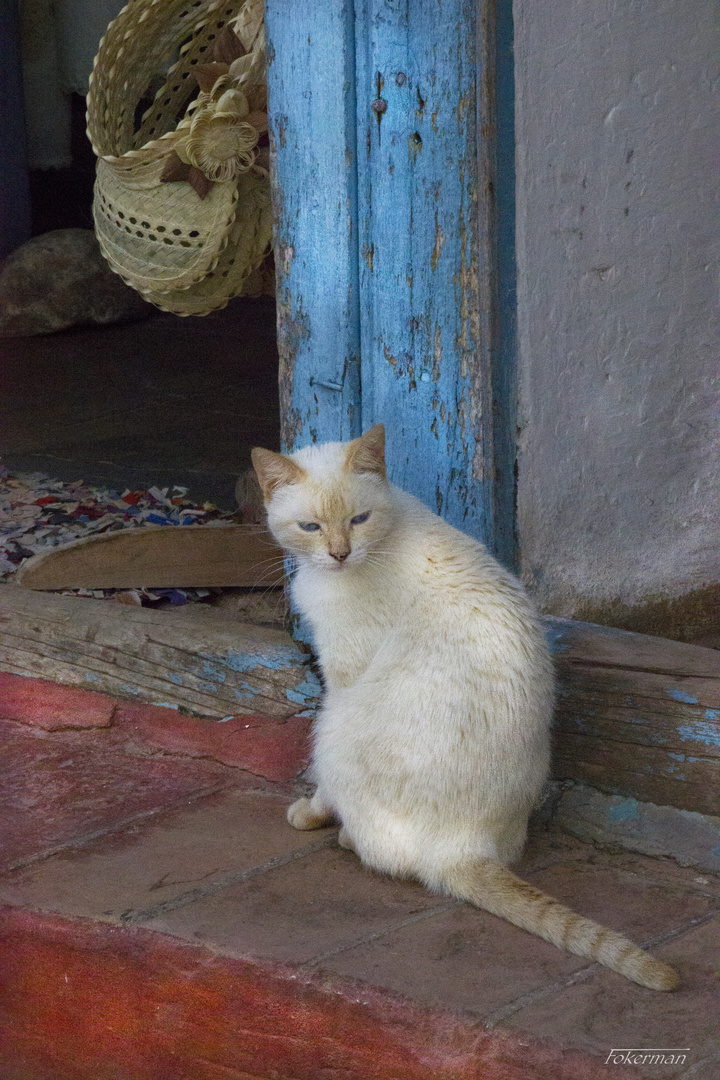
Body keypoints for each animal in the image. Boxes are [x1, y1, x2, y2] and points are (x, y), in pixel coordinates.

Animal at [253, 419, 682, 989]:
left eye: (358, 520)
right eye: (310, 526)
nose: (340, 554)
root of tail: (466, 846)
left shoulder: (341, 673)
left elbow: (319, 789)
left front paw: (306, 812)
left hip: (335, 727)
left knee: (379, 846)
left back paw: (343, 835)